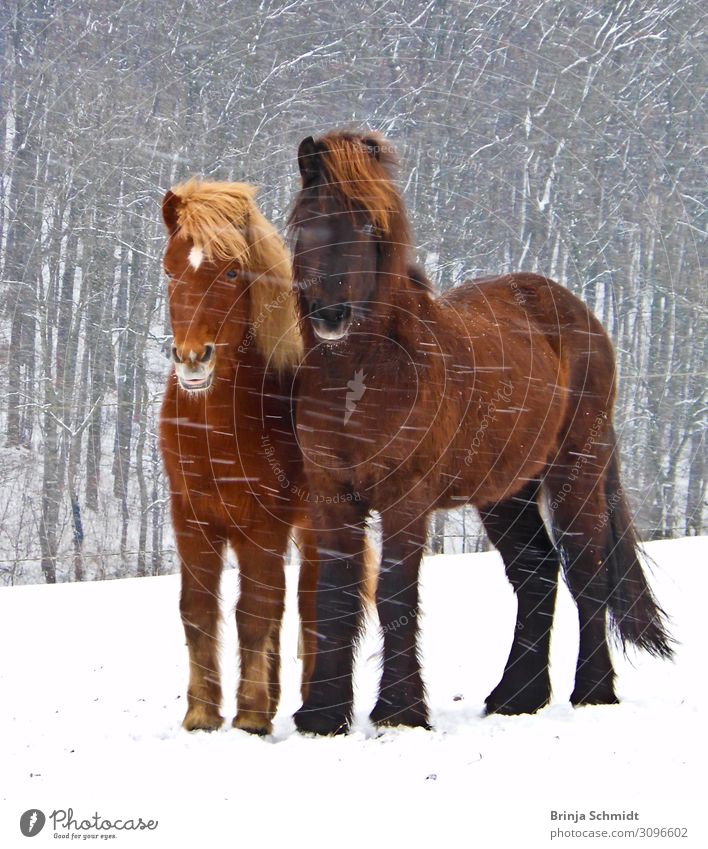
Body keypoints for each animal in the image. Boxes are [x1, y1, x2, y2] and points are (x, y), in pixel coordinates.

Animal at [160, 181, 318, 736]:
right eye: (169, 269)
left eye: (231, 273)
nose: (192, 358)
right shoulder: (191, 519)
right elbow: (196, 610)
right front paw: (202, 712)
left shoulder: (262, 523)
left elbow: (255, 611)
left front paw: (250, 714)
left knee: (311, 601)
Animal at [284, 129, 672, 732]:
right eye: (309, 222)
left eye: (368, 224)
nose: (332, 315)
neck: (362, 374)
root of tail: (579, 312)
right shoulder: (332, 496)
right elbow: (336, 597)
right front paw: (323, 715)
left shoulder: (405, 499)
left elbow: (395, 595)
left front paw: (400, 711)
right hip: (507, 493)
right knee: (537, 573)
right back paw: (518, 695)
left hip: (576, 472)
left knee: (588, 574)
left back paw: (592, 692)